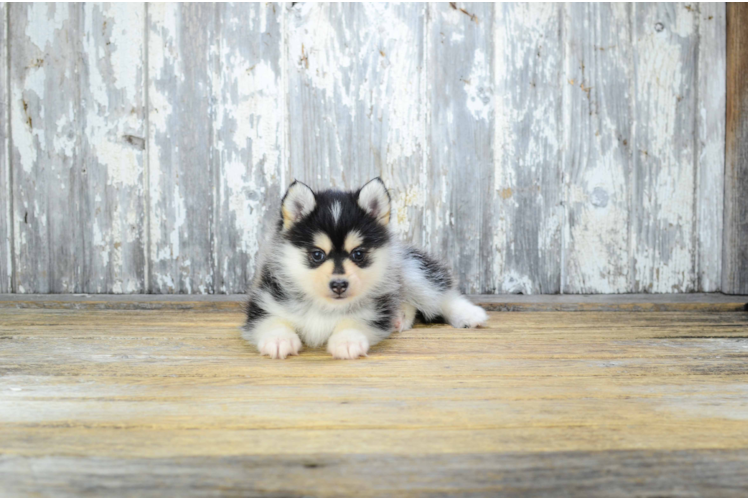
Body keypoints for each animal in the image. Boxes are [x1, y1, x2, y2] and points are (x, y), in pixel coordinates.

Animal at [245, 179, 488, 360]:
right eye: (317, 255)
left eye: (358, 254)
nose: (339, 285)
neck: (326, 307)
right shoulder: (265, 302)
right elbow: (272, 320)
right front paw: (279, 339)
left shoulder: (374, 311)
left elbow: (356, 320)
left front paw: (347, 340)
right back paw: (401, 315)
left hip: (409, 267)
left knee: (440, 294)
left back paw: (468, 314)